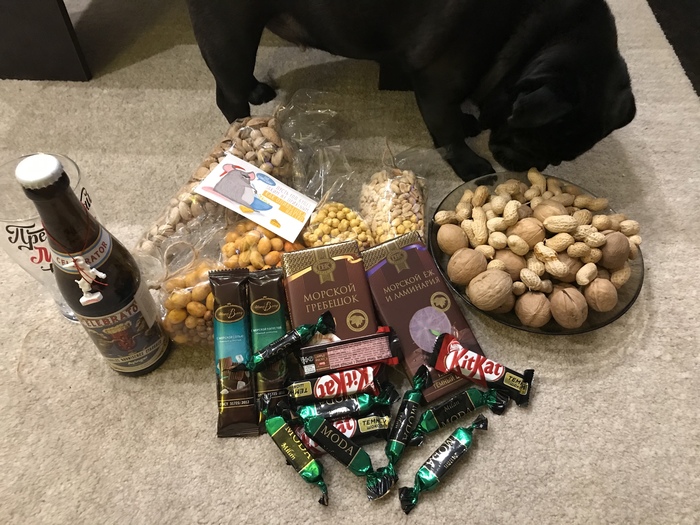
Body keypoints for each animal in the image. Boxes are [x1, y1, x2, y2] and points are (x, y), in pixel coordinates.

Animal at [185, 0, 636, 181]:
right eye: (531, 137)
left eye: (559, 159)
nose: (529, 166)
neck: (538, 35)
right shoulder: (438, 79)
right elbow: (446, 129)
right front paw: (471, 164)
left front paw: (470, 122)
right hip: (231, 33)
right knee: (227, 92)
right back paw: (244, 127)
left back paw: (258, 91)